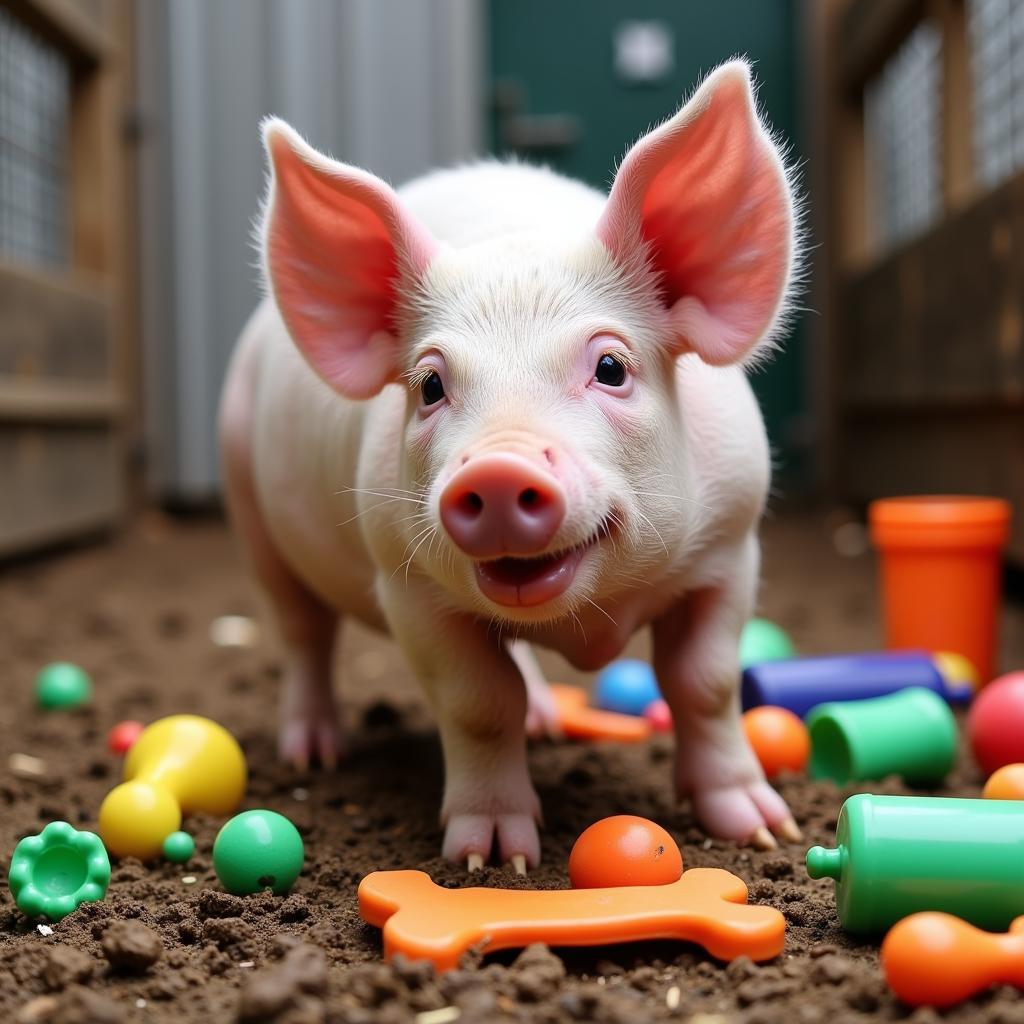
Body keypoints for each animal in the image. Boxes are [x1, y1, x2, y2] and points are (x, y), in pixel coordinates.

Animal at [222, 59, 798, 868]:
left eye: (612, 367)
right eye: (431, 385)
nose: (496, 469)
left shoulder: (731, 549)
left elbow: (705, 683)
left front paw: (763, 829)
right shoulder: (406, 584)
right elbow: (476, 701)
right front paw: (494, 859)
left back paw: (546, 724)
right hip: (249, 503)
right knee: (303, 634)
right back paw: (315, 754)